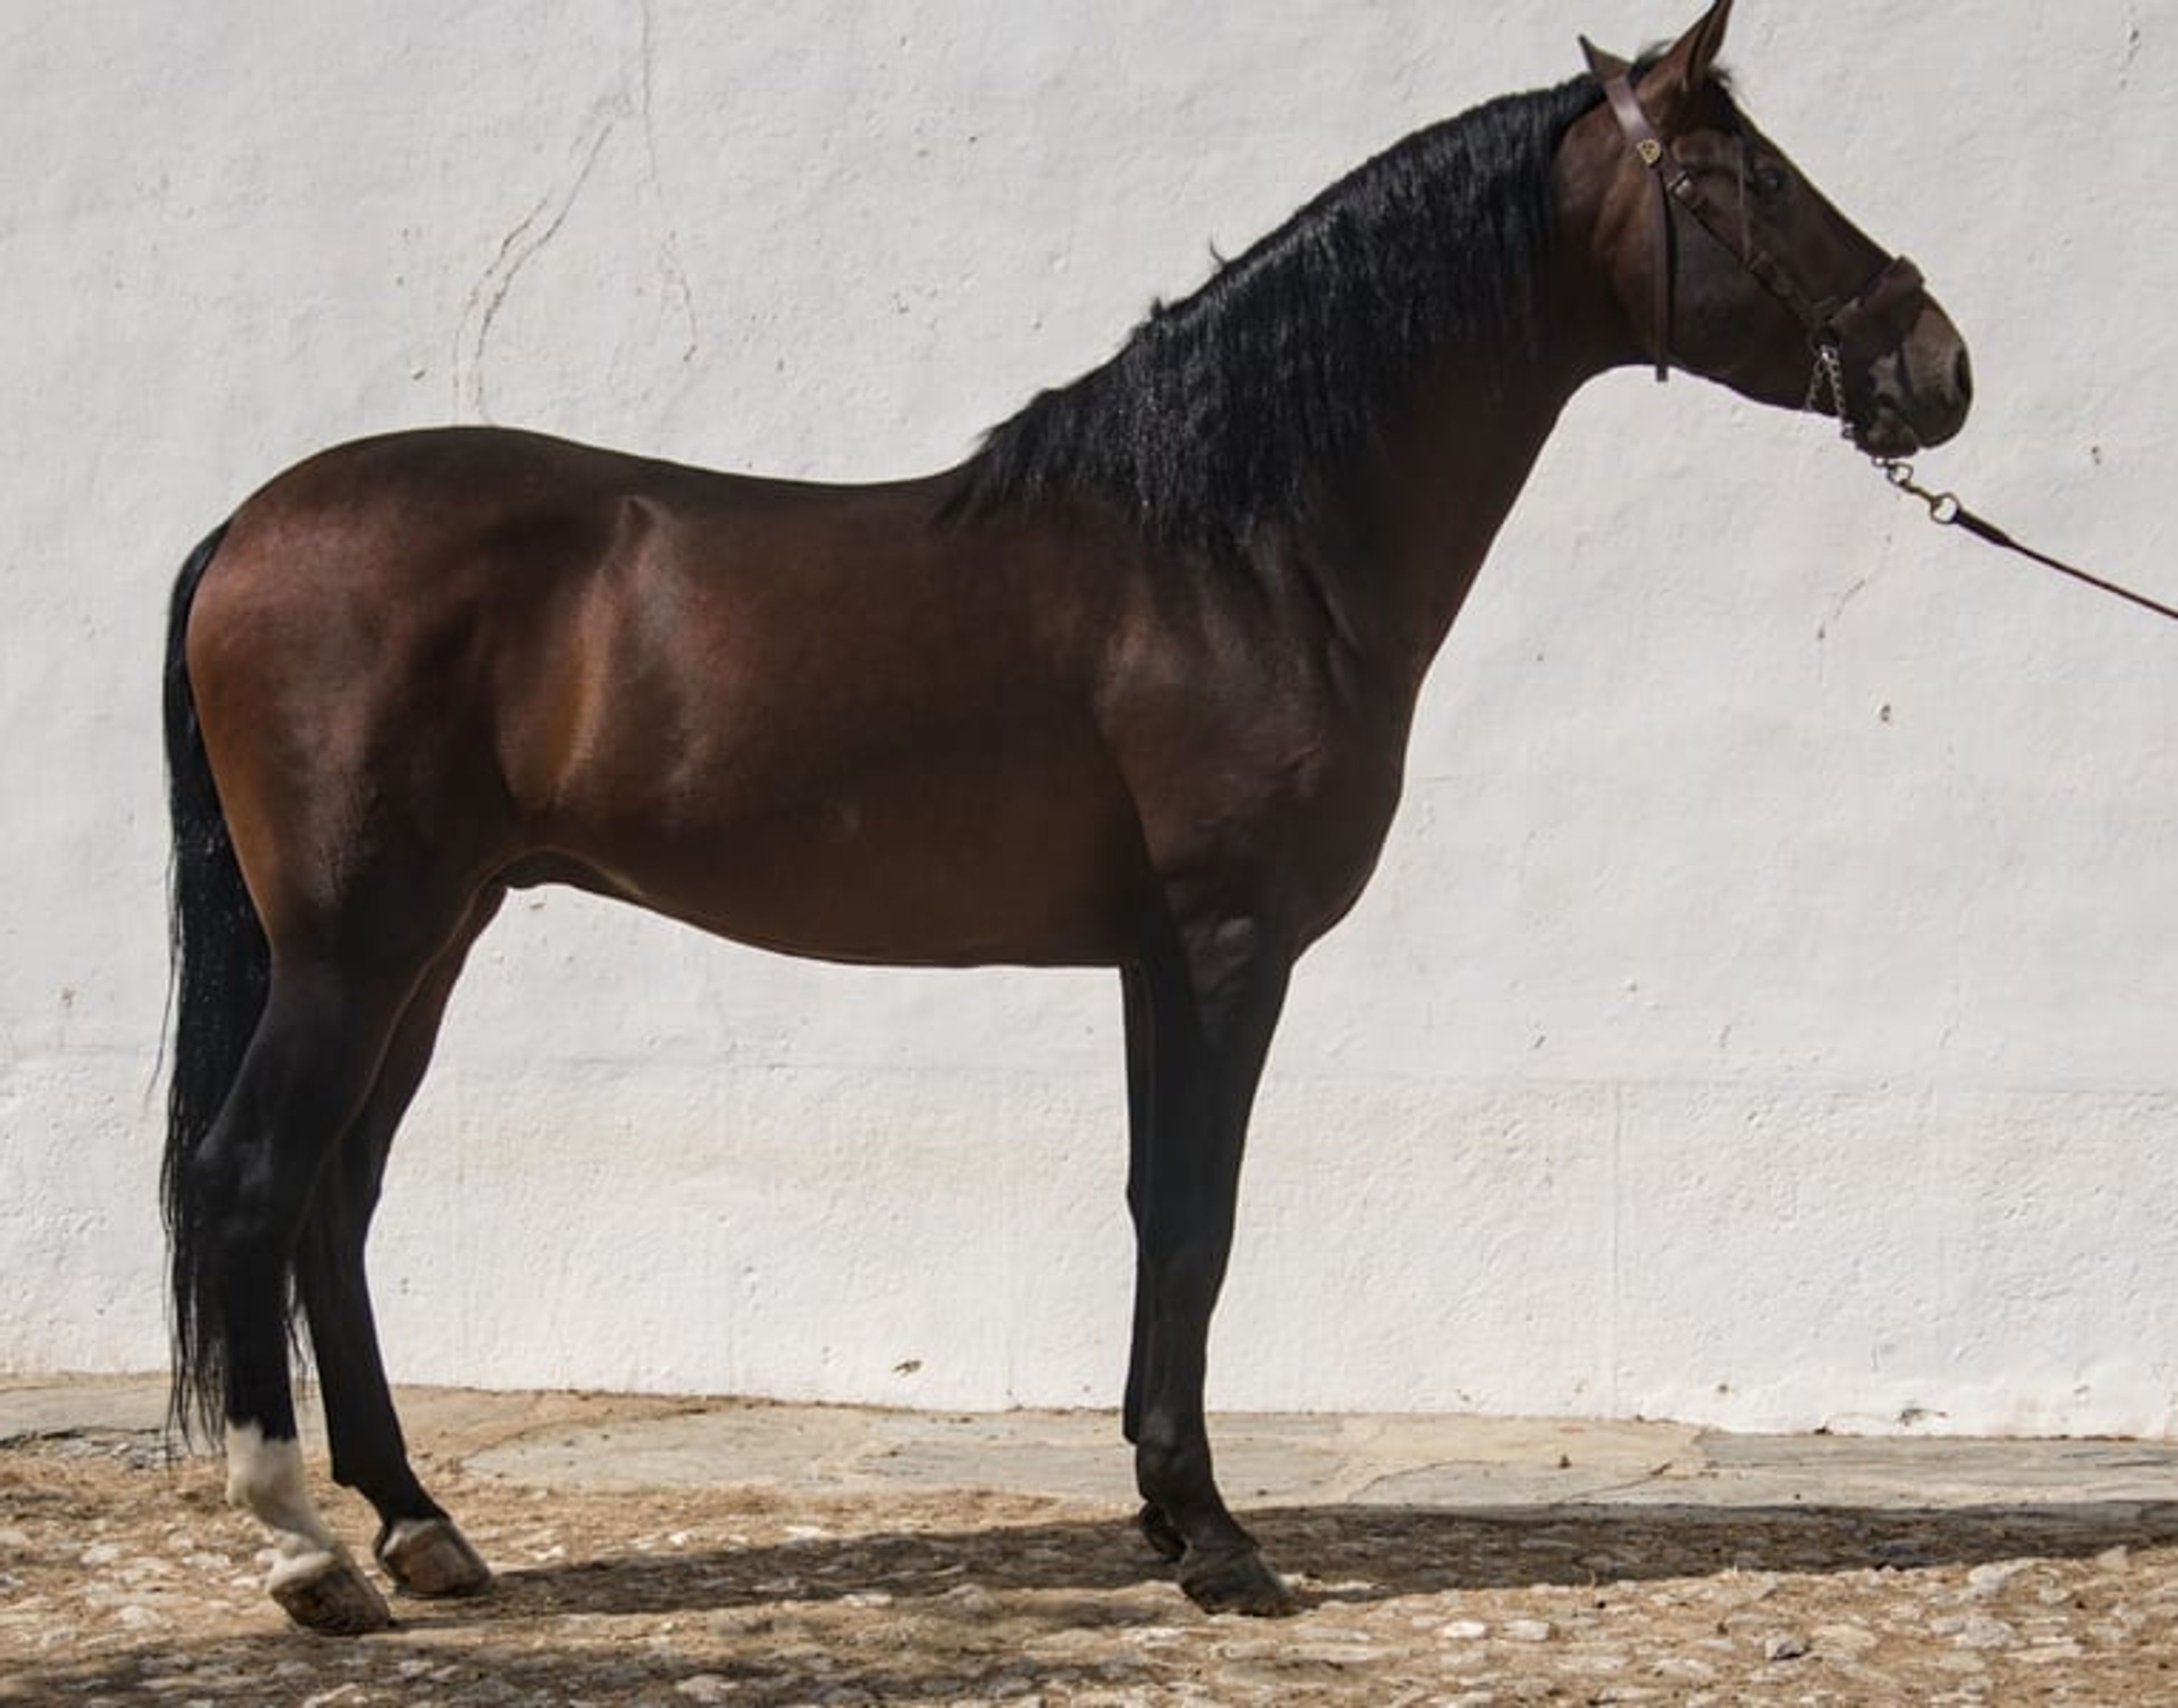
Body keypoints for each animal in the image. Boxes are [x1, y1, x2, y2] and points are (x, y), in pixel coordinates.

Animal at [161, 0, 1971, 1633]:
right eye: (1753, 179)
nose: (1937, 367)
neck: (1230, 549)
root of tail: (250, 523)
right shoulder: (1229, 947)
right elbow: (1200, 1216)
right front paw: (1216, 1537)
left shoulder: (1149, 962)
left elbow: (1152, 1206)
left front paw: (1165, 1516)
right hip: (357, 944)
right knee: (253, 1176)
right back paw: (308, 1552)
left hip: (435, 935)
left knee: (336, 1198)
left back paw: (419, 1524)